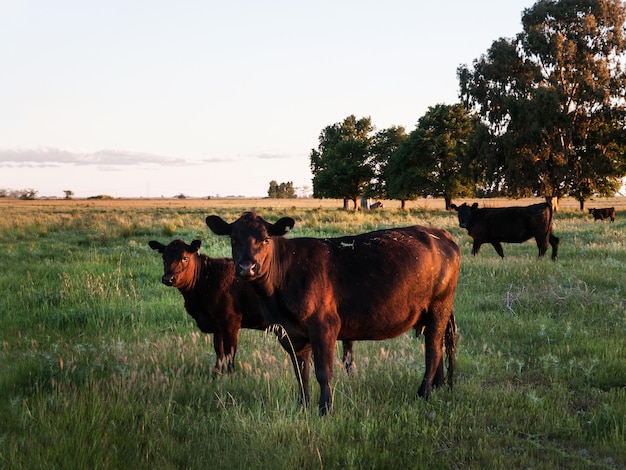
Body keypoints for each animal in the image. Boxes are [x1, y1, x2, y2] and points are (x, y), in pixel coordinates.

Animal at [147, 239, 356, 374]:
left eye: (184, 258)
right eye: (164, 258)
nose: (168, 278)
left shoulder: (230, 323)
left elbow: (230, 353)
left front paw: (230, 376)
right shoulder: (217, 325)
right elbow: (219, 351)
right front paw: (216, 374)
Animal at [206, 211, 458, 414]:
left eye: (265, 239)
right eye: (233, 239)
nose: (246, 267)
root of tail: (439, 233)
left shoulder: (324, 326)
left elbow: (323, 371)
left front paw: (325, 409)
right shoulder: (289, 332)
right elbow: (301, 373)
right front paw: (303, 406)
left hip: (439, 306)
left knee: (433, 350)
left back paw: (423, 393)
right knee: (439, 347)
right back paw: (438, 386)